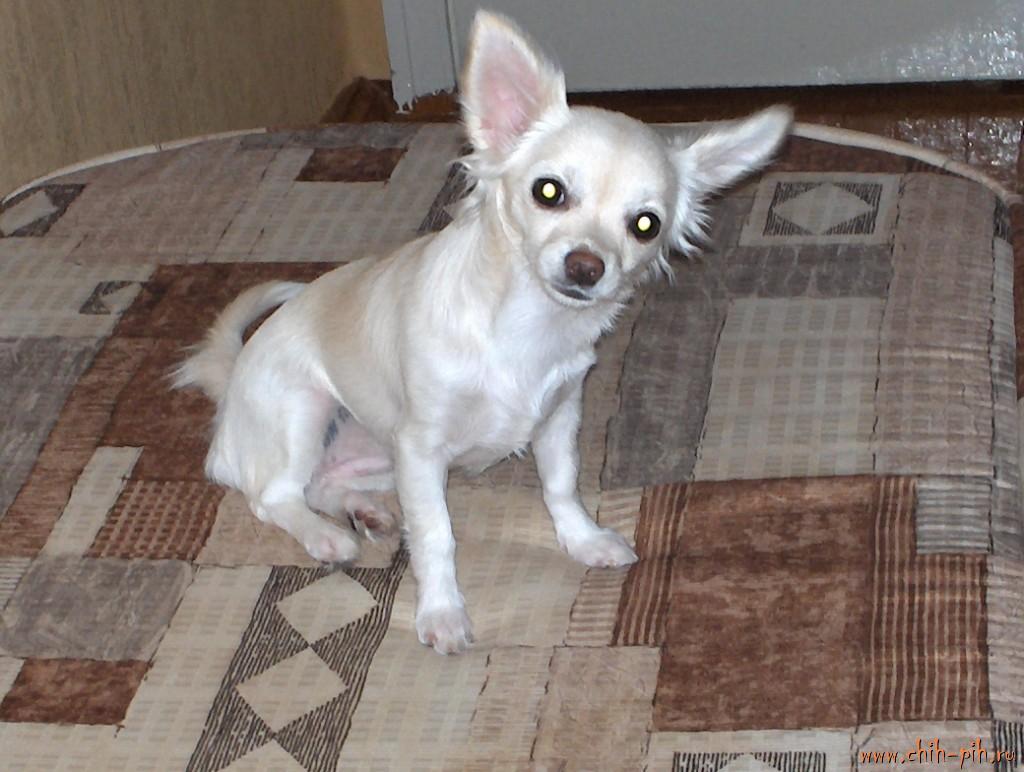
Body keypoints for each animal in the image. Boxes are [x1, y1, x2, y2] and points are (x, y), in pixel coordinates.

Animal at [174, 10, 792, 654]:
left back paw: (366, 512)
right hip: (306, 410)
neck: (527, 327)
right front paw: (442, 613)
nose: (586, 266)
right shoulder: (421, 448)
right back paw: (327, 536)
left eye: (645, 225)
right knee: (273, 496)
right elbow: (437, 535)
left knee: (321, 486)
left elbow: (562, 486)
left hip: (377, 452)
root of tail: (232, 380)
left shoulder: (558, 417)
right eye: (549, 191)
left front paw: (583, 539)